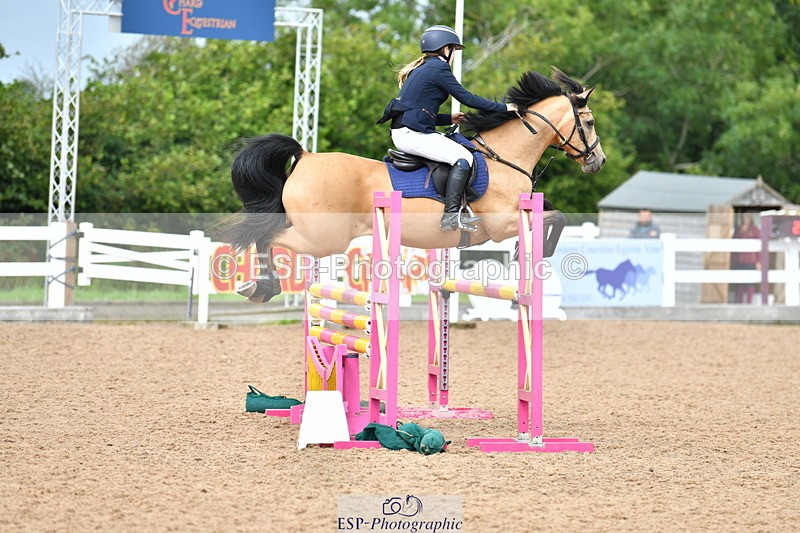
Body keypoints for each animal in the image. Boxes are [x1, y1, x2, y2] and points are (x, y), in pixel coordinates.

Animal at [216, 68, 607, 303]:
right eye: (587, 122)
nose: (598, 161)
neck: (503, 157)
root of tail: (306, 156)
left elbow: (556, 214)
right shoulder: (498, 224)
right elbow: (556, 218)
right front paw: (533, 252)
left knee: (264, 235)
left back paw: (257, 286)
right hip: (323, 237)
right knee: (267, 237)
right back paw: (263, 285)